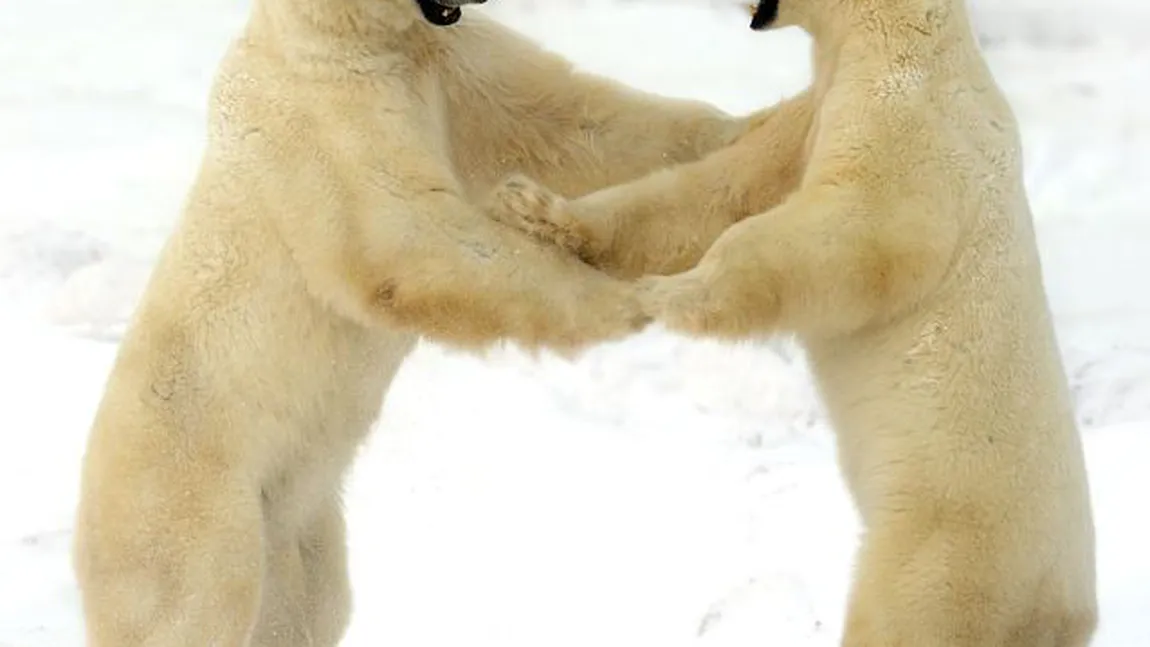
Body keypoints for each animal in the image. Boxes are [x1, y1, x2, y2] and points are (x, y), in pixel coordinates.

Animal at [71, 1, 763, 647]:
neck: (343, 35)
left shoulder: (449, 61)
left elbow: (581, 123)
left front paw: (754, 126)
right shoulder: (324, 109)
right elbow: (407, 232)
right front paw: (625, 306)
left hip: (296, 521)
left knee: (307, 609)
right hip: (190, 505)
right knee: (192, 610)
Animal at [485, 2, 1094, 643]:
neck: (901, 42)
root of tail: (1068, 611)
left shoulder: (910, 127)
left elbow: (851, 230)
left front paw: (667, 295)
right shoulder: (814, 112)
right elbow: (711, 194)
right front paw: (532, 206)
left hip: (949, 549)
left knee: (902, 614)